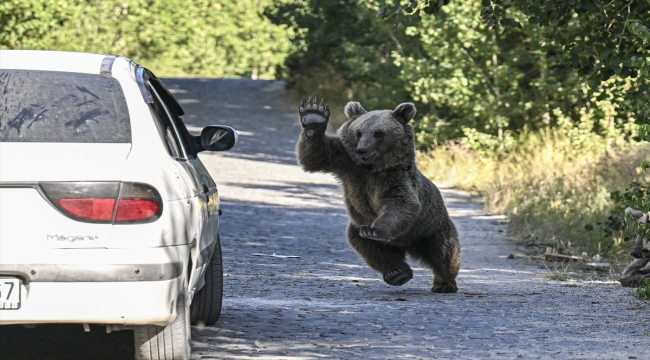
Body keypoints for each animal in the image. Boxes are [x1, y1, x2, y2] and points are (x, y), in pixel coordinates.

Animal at [296, 96, 458, 292]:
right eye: (359, 132)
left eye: (378, 133)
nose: (362, 150)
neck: (372, 168)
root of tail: (406, 245)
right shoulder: (347, 163)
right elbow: (316, 156)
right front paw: (314, 115)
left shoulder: (394, 178)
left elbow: (401, 203)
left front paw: (375, 230)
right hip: (358, 227)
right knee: (371, 249)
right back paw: (397, 272)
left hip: (430, 229)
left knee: (444, 253)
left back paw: (444, 283)